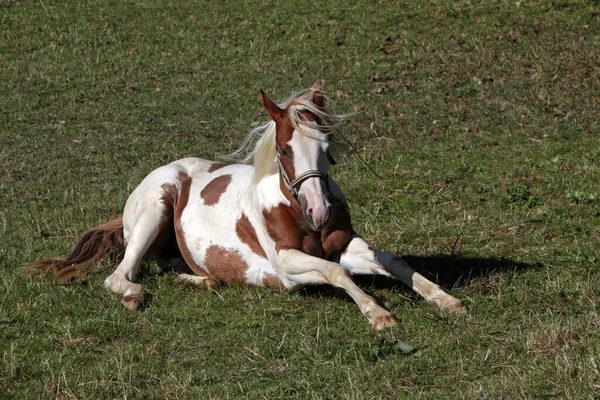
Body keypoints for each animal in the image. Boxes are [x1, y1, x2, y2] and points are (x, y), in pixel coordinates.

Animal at [30, 80, 464, 328]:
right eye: (286, 150)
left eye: (326, 146)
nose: (320, 212)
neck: (295, 210)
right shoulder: (286, 266)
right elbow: (337, 273)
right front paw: (379, 315)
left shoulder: (348, 247)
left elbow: (392, 262)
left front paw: (446, 300)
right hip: (155, 209)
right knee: (119, 275)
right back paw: (136, 296)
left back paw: (202, 279)